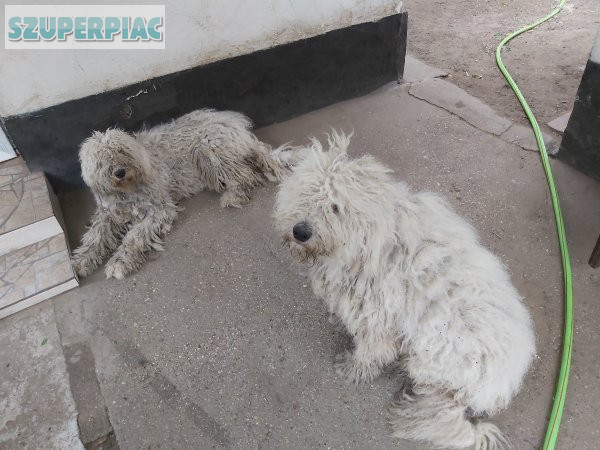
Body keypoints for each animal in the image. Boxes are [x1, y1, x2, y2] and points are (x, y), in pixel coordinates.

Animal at [74, 107, 298, 280]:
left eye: (121, 151)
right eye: (102, 159)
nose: (120, 172)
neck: (126, 192)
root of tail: (234, 124)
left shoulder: (158, 210)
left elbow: (134, 238)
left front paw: (119, 262)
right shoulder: (108, 214)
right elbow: (95, 238)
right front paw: (81, 262)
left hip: (207, 150)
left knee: (247, 175)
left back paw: (233, 195)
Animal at [274, 131, 536, 450]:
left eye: (335, 207)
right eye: (304, 193)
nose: (300, 232)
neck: (375, 241)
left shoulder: (376, 319)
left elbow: (370, 351)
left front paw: (354, 369)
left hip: (431, 357)